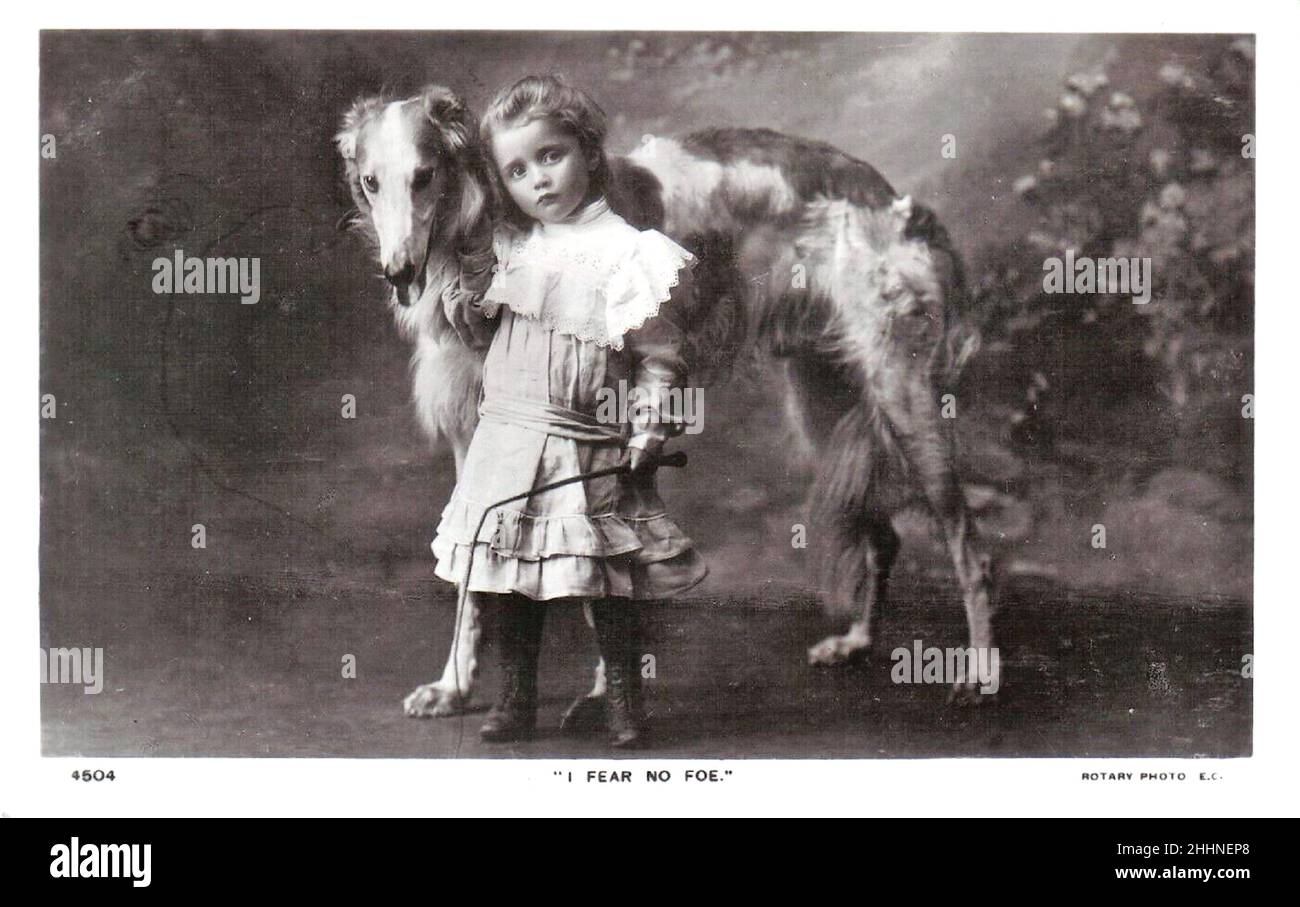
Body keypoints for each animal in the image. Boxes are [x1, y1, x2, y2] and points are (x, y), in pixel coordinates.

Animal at [332, 84, 993, 712]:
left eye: (425, 175)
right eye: (371, 181)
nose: (399, 271)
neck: (486, 231)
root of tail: (893, 198)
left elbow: (605, 557)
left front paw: (607, 689)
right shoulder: (477, 430)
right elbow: (472, 566)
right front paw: (454, 687)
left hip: (905, 394)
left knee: (970, 547)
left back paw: (981, 674)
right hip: (825, 406)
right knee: (883, 536)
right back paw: (858, 640)